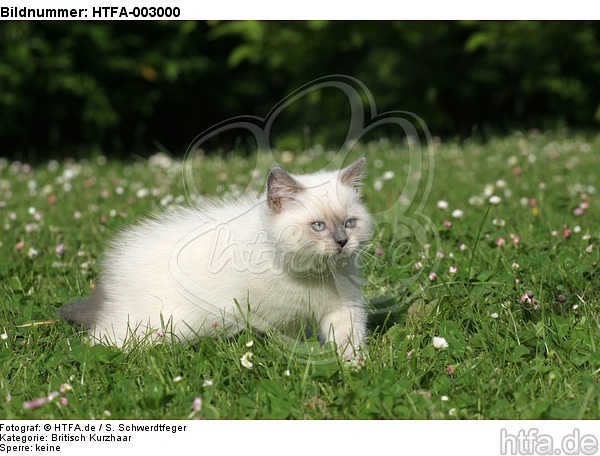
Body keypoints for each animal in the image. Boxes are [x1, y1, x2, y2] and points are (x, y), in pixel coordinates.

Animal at [61, 159, 370, 358]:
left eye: (350, 223)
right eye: (318, 226)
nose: (342, 242)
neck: (316, 274)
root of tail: (108, 281)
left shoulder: (343, 308)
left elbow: (348, 340)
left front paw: (353, 367)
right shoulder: (270, 315)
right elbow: (289, 338)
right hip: (160, 326)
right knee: (99, 340)